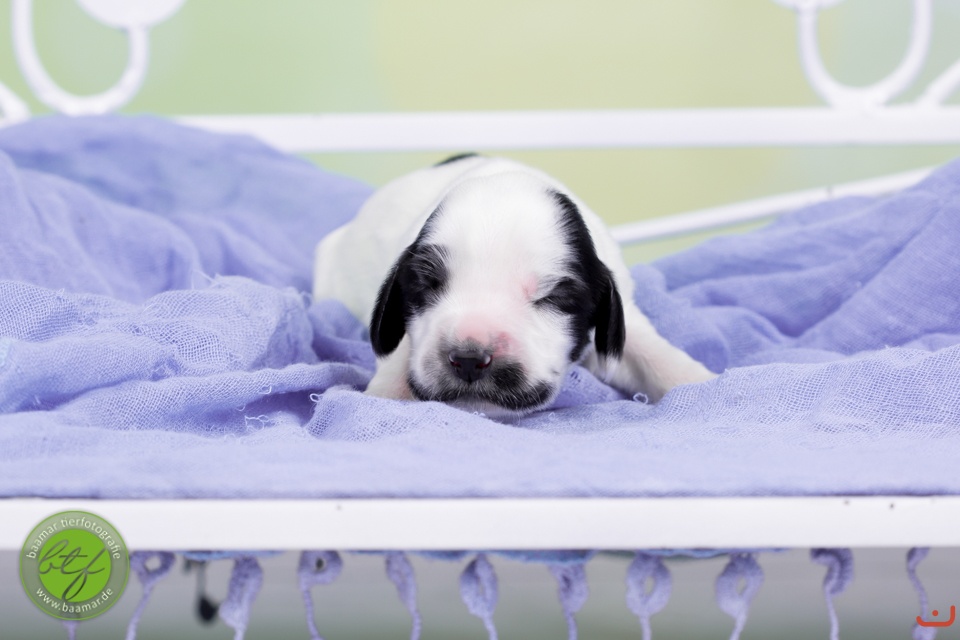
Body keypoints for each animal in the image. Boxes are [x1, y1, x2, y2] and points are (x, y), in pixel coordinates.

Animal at [313, 154, 715, 418]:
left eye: (552, 296)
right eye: (426, 286)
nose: (469, 359)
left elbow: (650, 353)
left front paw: (701, 383)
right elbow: (402, 350)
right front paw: (389, 396)